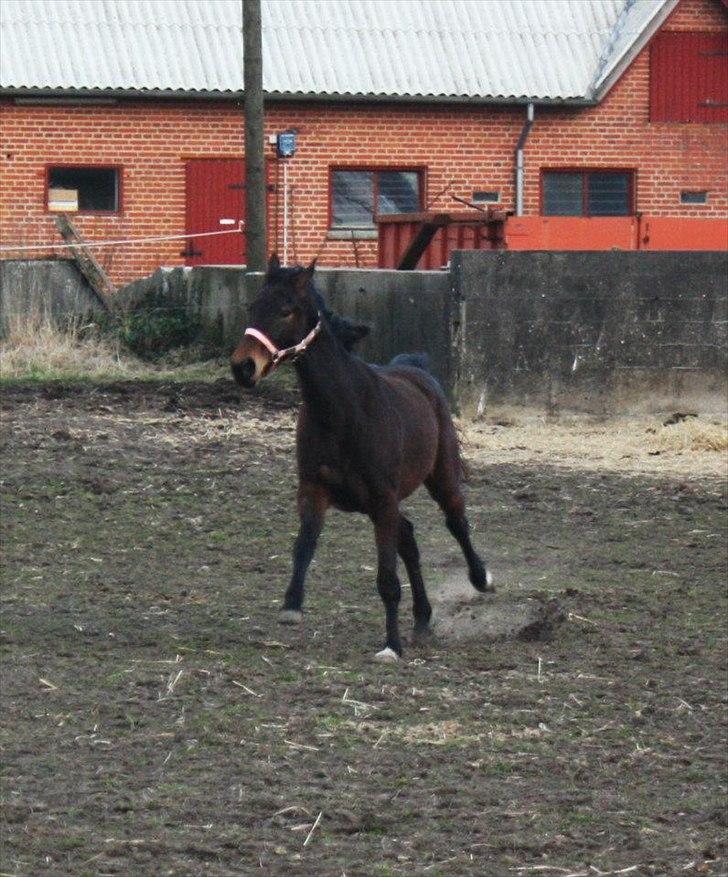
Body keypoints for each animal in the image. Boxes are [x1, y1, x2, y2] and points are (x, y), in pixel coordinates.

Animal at [230, 256, 492, 660]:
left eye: (286, 310)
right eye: (252, 307)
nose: (243, 367)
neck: (343, 411)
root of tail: (416, 369)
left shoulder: (383, 499)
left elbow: (387, 580)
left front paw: (391, 647)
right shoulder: (315, 489)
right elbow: (304, 545)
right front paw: (292, 605)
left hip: (441, 476)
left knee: (456, 522)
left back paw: (481, 579)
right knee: (409, 537)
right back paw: (422, 619)